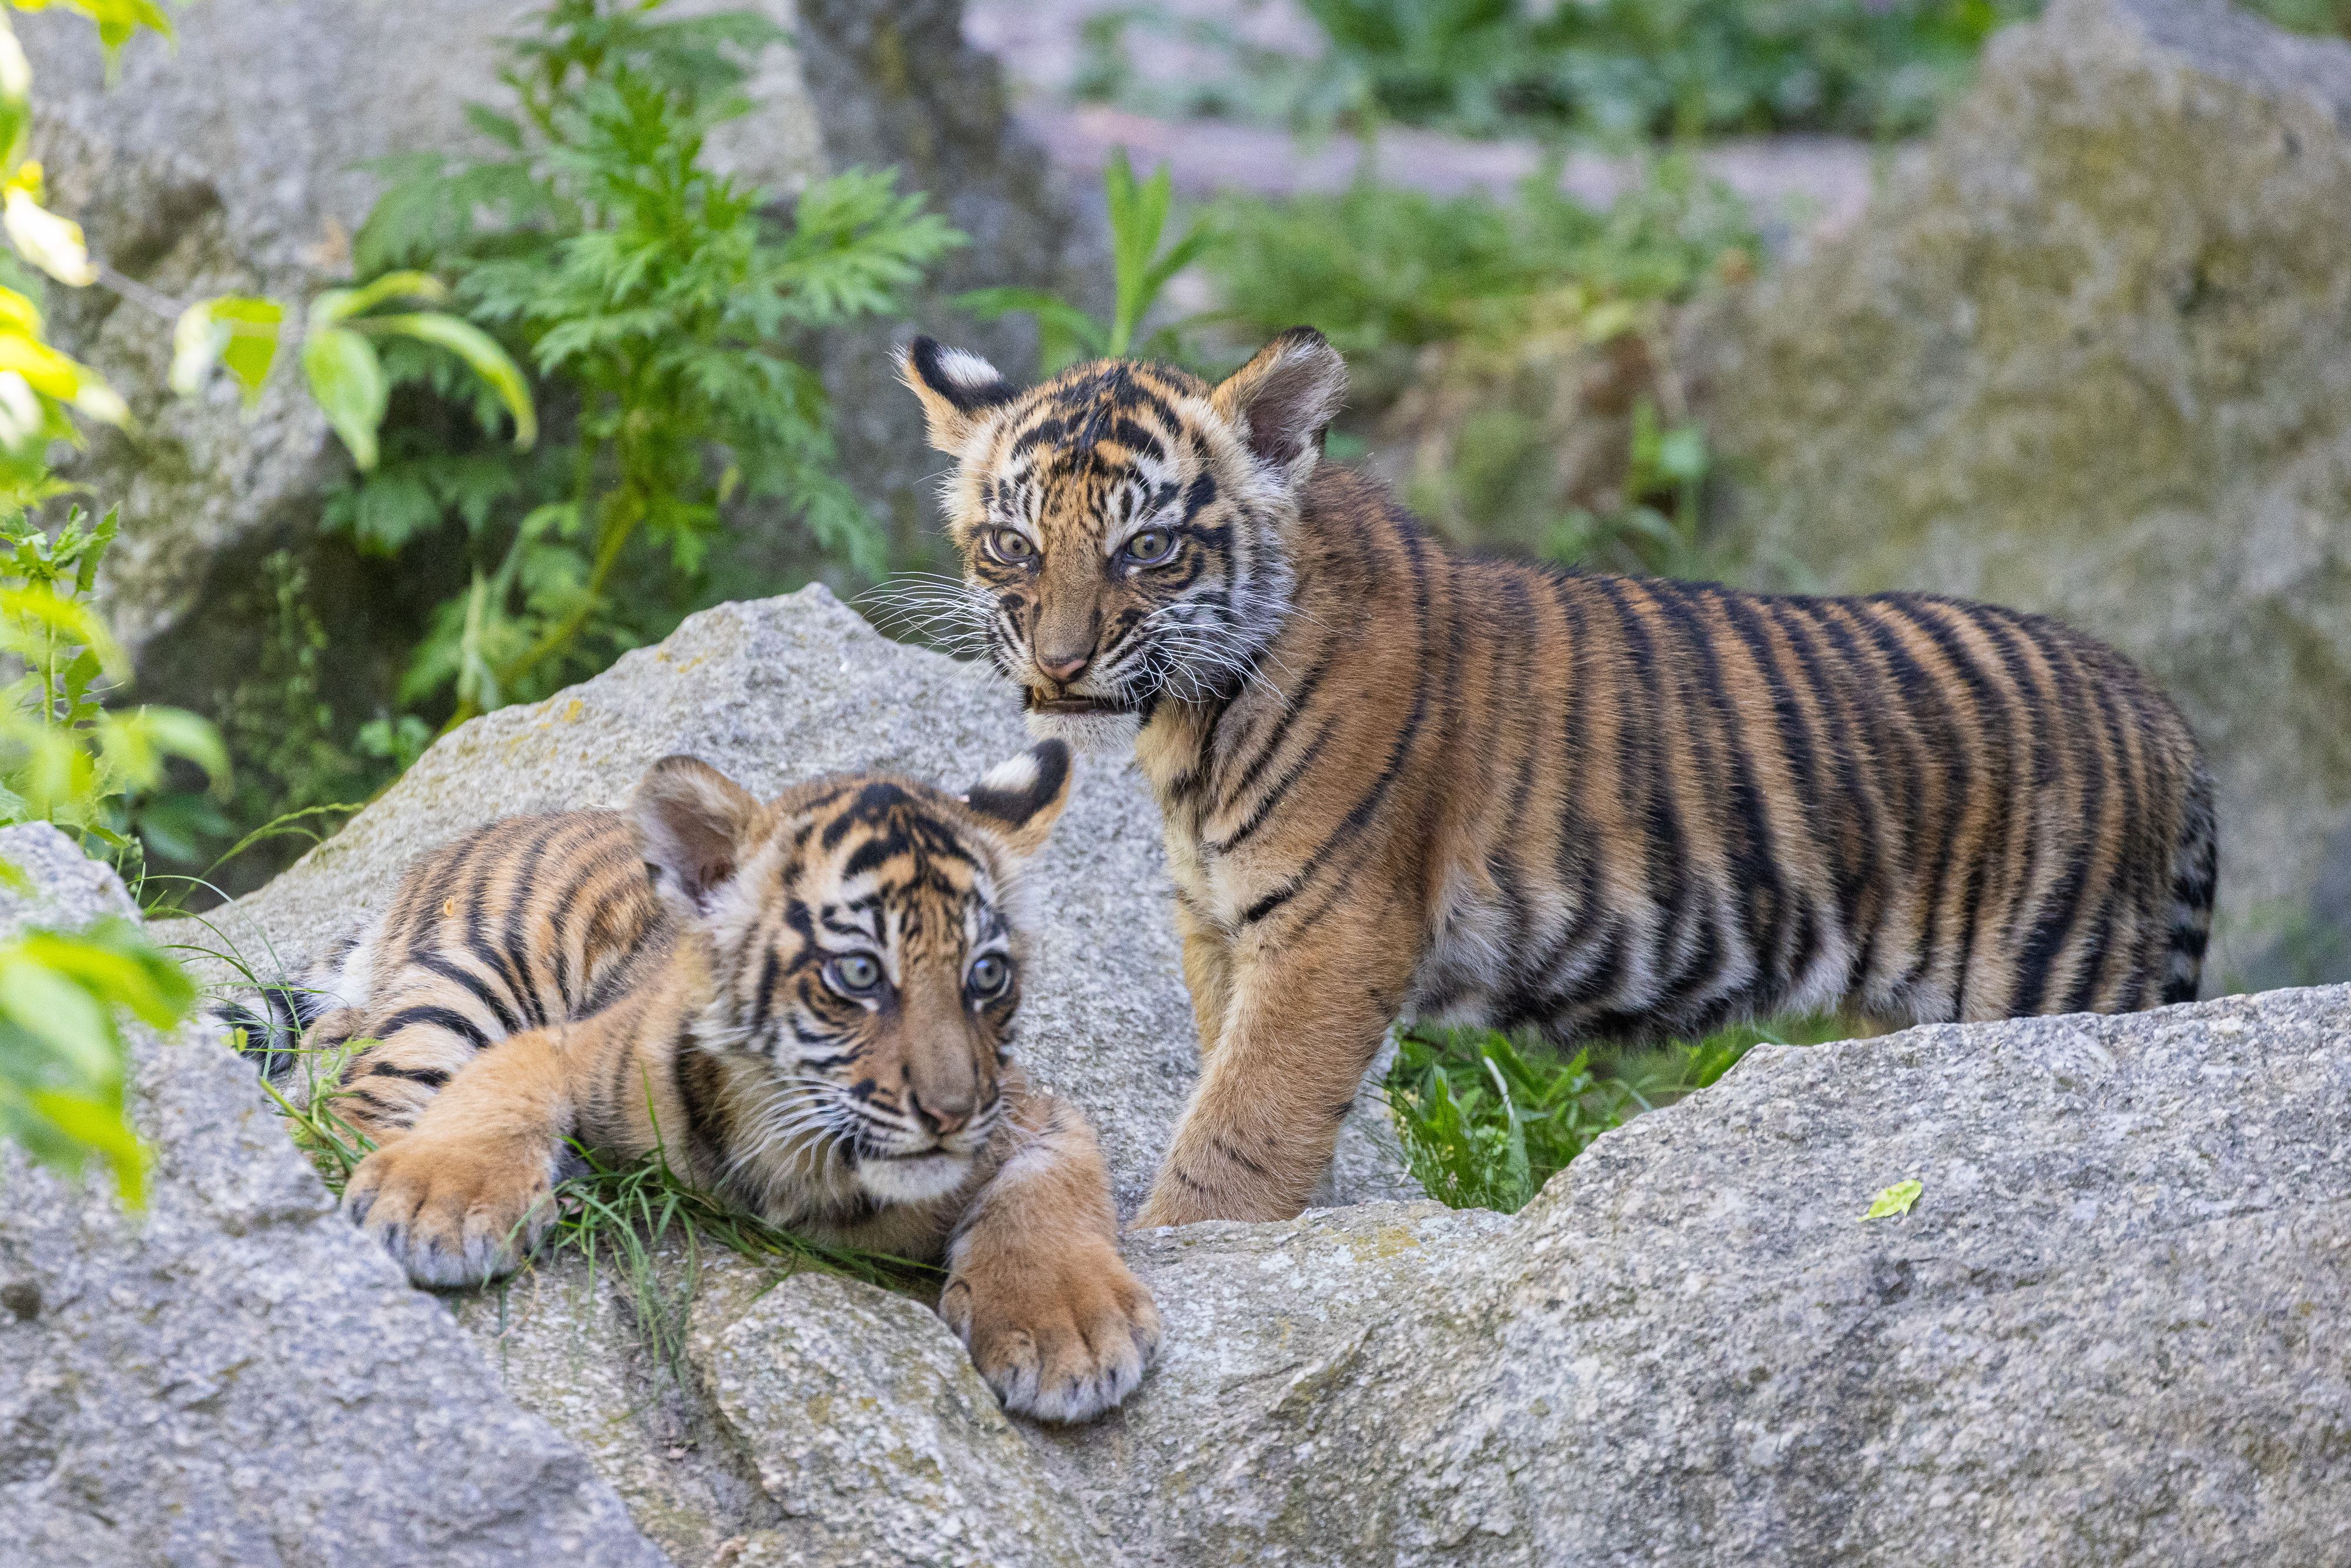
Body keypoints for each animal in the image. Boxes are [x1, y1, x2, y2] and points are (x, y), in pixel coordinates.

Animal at [231, 741, 1160, 1423]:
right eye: (860, 972)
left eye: (987, 976)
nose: (953, 1111)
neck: (810, 1159)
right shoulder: (574, 1044)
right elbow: (500, 1087)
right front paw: (438, 1205)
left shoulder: (1029, 1110)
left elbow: (1053, 1186)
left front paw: (1065, 1335)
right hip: (471, 973)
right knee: (344, 1104)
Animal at [896, 326, 2220, 1229]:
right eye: (1012, 544)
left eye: (1152, 549)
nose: (1059, 660)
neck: (1193, 719)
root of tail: (2162, 710)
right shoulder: (1221, 924)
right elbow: (1236, 1083)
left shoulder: (1329, 933)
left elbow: (1243, 1119)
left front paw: (1186, 1241)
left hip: (2049, 983)